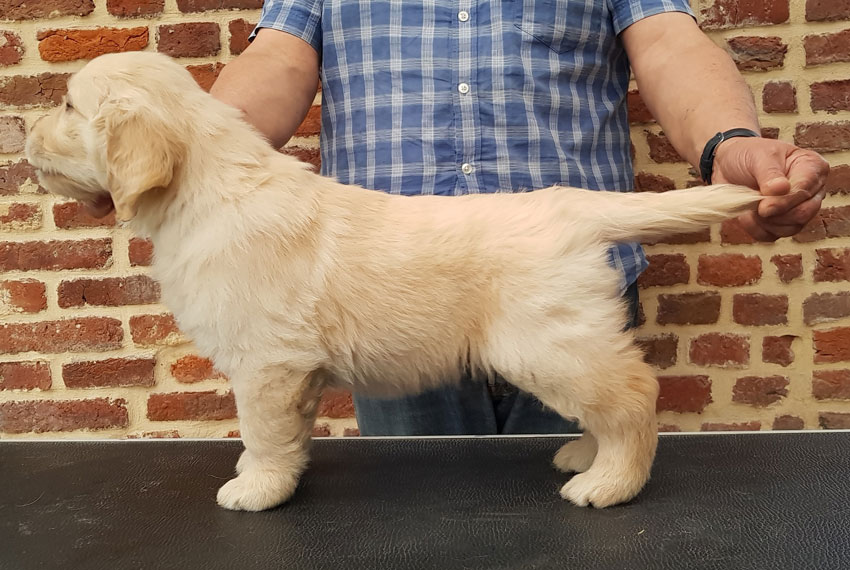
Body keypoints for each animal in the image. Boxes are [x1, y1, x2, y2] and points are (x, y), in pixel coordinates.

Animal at [26, 52, 760, 510]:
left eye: (66, 104)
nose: (22, 134)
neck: (206, 190)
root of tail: (573, 205)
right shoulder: (292, 371)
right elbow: (288, 434)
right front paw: (276, 476)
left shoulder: (266, 363)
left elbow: (262, 431)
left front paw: (256, 489)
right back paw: (586, 454)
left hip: (545, 342)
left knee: (633, 395)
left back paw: (610, 484)